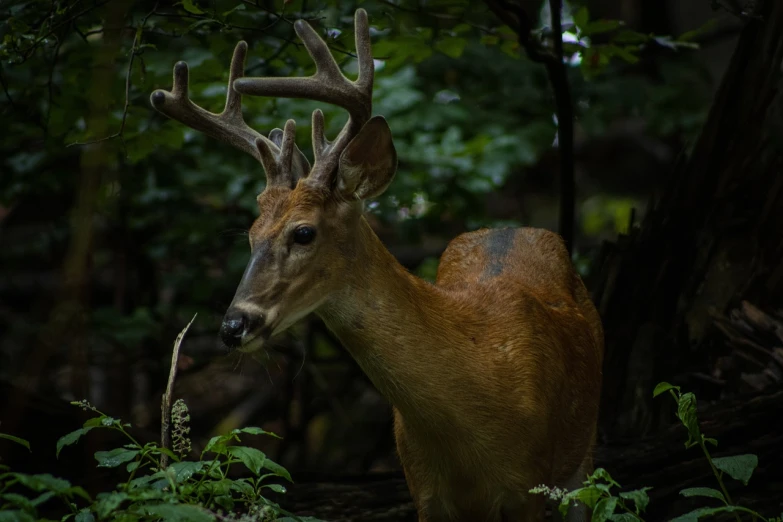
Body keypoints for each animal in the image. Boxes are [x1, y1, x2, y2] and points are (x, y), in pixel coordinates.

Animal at [153, 8, 608, 520]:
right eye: (250, 235)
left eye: (304, 232)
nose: (233, 327)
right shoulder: (422, 490)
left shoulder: (530, 487)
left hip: (583, 458)